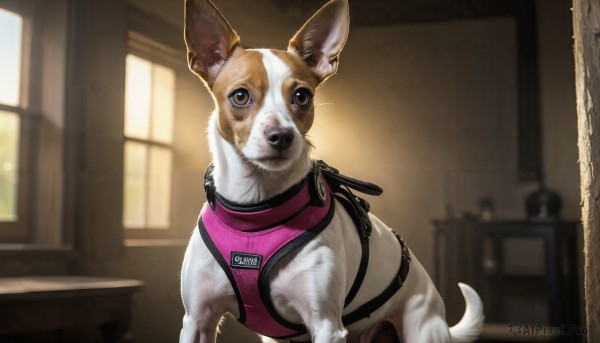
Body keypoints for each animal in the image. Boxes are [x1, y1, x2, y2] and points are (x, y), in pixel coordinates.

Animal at [178, 0, 482, 343]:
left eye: (302, 96)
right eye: (240, 96)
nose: (281, 136)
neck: (255, 211)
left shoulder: (326, 324)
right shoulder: (198, 320)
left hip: (421, 329)